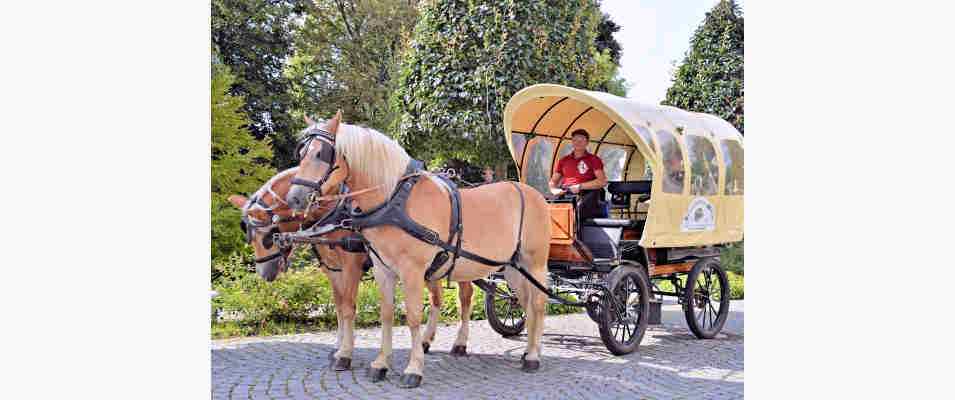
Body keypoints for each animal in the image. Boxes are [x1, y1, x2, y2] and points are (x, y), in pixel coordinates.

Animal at [286, 111, 552, 388]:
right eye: (302, 153)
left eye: (322, 154)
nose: (294, 198)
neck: (395, 200)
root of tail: (530, 192)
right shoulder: (382, 270)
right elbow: (386, 314)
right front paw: (380, 363)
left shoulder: (407, 270)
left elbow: (412, 315)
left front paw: (413, 368)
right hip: (511, 268)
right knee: (523, 302)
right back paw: (529, 350)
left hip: (534, 263)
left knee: (538, 303)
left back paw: (533, 356)